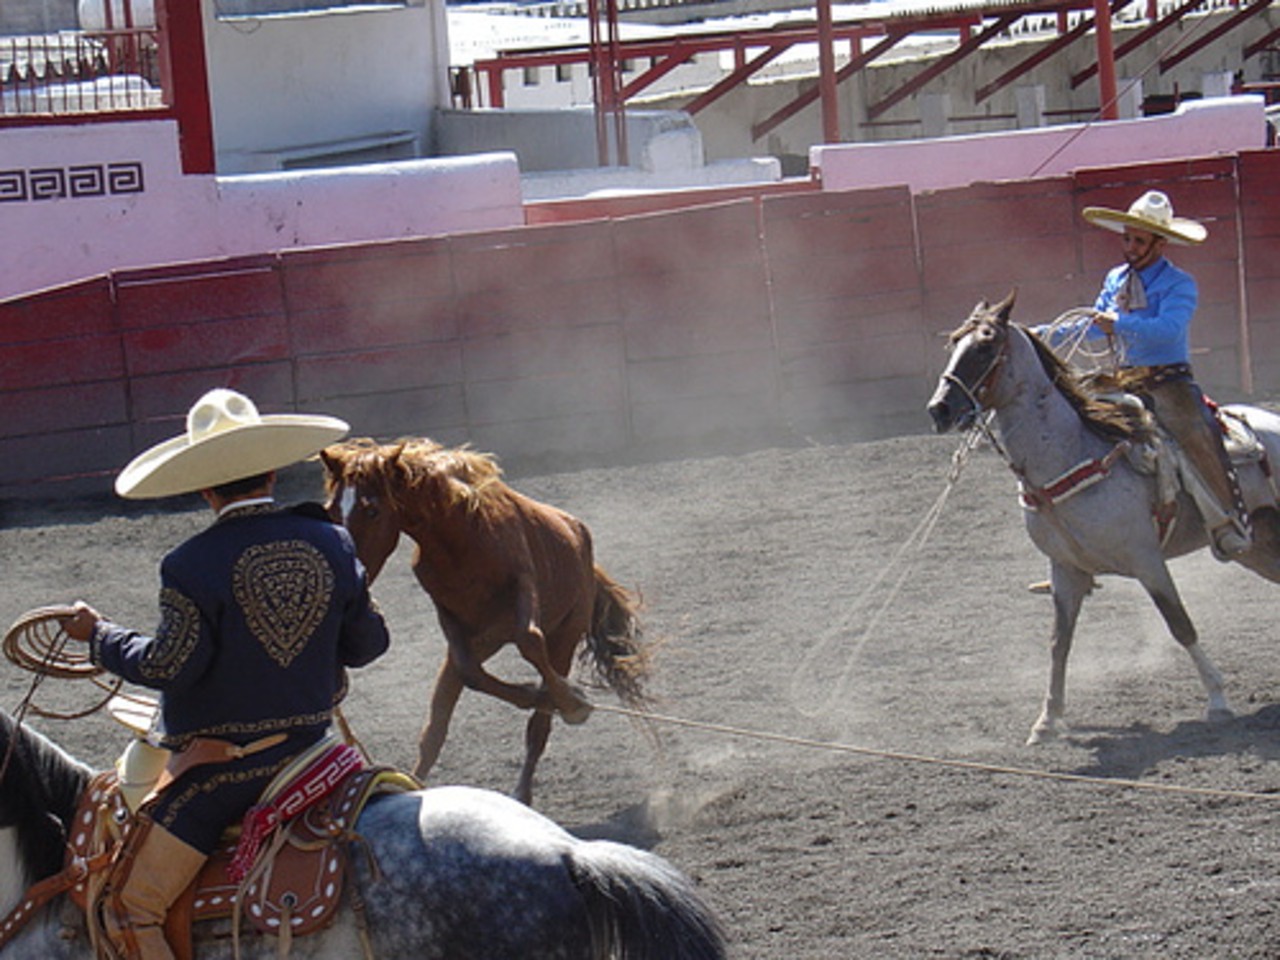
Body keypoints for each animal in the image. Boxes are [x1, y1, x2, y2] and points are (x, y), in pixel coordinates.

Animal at [320, 438, 651, 805]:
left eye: (372, 510)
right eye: (331, 509)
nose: (349, 569)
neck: (461, 537)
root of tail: (581, 541)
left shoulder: (524, 585)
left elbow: (530, 641)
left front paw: (570, 702)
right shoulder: (451, 619)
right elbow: (470, 672)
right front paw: (532, 693)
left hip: (565, 632)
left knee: (538, 724)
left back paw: (530, 773)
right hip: (485, 641)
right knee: (436, 729)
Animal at [926, 291, 1280, 745]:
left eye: (986, 346)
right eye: (954, 343)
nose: (939, 409)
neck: (1072, 452)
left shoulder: (1147, 560)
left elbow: (1180, 624)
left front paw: (1218, 700)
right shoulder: (1065, 569)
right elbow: (1059, 642)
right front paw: (1048, 720)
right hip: (1259, 546)